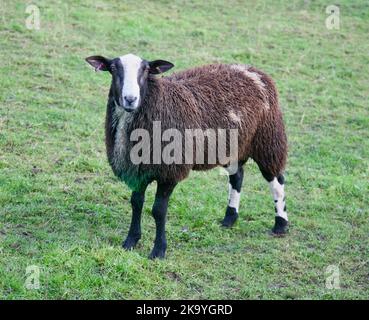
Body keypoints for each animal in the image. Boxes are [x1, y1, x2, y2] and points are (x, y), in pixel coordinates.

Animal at [85, 53, 288, 258]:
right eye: (113, 68)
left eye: (146, 70)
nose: (130, 99)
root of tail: (252, 70)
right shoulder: (138, 170)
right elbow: (136, 203)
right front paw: (131, 241)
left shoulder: (170, 172)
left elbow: (158, 210)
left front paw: (158, 250)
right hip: (231, 146)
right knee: (237, 176)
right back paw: (229, 219)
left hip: (268, 140)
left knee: (276, 180)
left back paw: (281, 224)